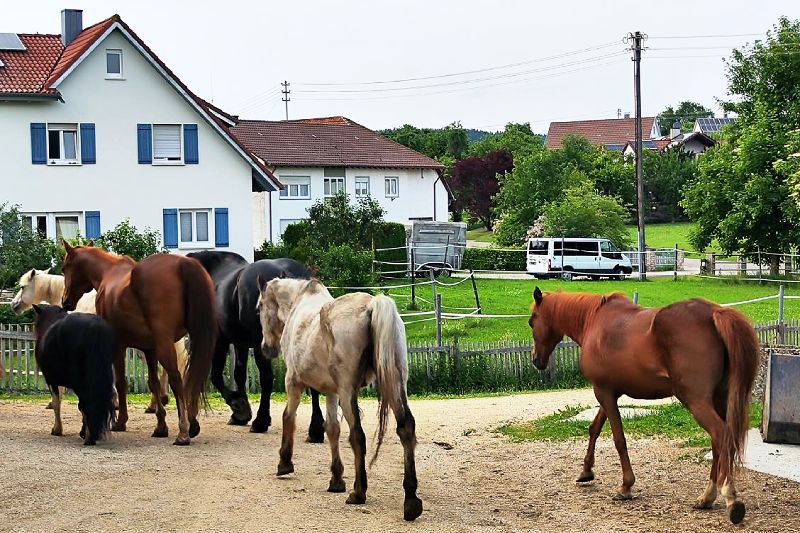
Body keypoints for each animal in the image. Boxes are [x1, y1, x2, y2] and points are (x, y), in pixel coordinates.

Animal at [32, 304, 116, 445]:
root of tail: (94, 327)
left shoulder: (51, 380)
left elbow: (56, 403)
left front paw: (57, 430)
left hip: (80, 380)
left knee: (85, 404)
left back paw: (89, 437)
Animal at [60, 241, 217, 445]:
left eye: (64, 268)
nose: (65, 301)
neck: (108, 273)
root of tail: (182, 264)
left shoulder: (118, 346)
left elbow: (121, 382)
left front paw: (120, 421)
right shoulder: (149, 349)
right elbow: (153, 383)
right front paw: (160, 426)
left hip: (166, 345)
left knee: (177, 379)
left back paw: (183, 431)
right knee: (194, 378)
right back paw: (192, 424)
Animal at [187, 251, 324, 440]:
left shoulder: (221, 342)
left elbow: (216, 376)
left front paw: (239, 407)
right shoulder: (240, 343)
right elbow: (239, 374)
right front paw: (240, 413)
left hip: (262, 347)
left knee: (266, 378)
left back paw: (261, 421)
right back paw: (316, 429)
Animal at [257, 277, 422, 521]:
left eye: (259, 306)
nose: (266, 349)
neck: (299, 302)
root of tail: (372, 304)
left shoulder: (293, 381)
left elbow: (289, 416)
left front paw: (284, 463)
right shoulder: (331, 392)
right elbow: (332, 428)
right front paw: (336, 479)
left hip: (348, 392)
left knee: (358, 436)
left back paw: (359, 492)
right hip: (395, 383)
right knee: (405, 427)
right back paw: (411, 500)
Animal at [528, 287, 760, 524]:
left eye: (531, 321)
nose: (536, 360)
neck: (593, 321)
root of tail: (715, 312)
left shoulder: (602, 392)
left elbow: (618, 439)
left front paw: (625, 486)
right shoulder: (610, 392)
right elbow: (594, 429)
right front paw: (586, 471)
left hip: (696, 401)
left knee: (722, 435)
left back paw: (730, 497)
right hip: (718, 399)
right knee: (718, 442)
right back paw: (707, 497)